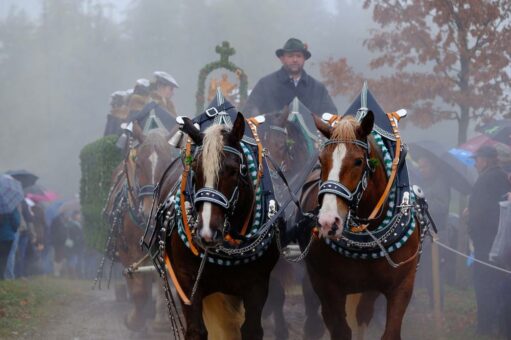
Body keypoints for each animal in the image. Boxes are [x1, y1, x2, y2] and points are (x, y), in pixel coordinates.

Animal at [161, 113, 278, 338]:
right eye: (195, 170)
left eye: (233, 171)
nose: (207, 233)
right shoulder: (187, 280)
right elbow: (196, 330)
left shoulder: (257, 284)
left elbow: (251, 329)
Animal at [300, 112, 420, 340]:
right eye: (321, 160)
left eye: (358, 161)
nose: (328, 222)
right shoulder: (327, 286)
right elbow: (340, 330)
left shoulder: (403, 284)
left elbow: (390, 332)